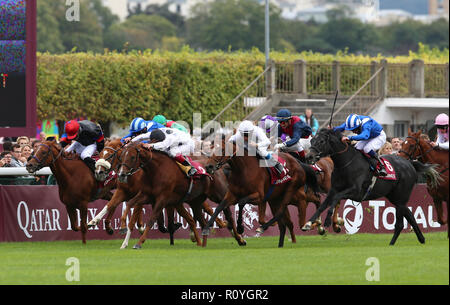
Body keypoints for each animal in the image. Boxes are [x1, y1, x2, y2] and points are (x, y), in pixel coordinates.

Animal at [117, 141, 246, 248]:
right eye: (122, 156)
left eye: (132, 157)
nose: (121, 174)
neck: (156, 171)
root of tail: (216, 167)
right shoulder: (146, 195)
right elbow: (129, 204)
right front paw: (123, 228)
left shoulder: (162, 199)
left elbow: (151, 219)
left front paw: (139, 243)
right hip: (196, 201)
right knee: (202, 221)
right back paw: (203, 244)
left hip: (219, 196)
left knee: (228, 215)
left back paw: (240, 239)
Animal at [302, 127, 440, 245]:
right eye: (311, 140)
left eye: (321, 141)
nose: (309, 156)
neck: (346, 163)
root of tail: (410, 164)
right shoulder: (333, 189)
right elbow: (323, 205)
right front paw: (308, 223)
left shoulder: (355, 191)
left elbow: (336, 199)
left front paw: (328, 221)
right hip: (395, 197)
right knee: (410, 216)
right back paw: (421, 239)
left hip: (401, 197)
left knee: (400, 223)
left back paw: (392, 243)